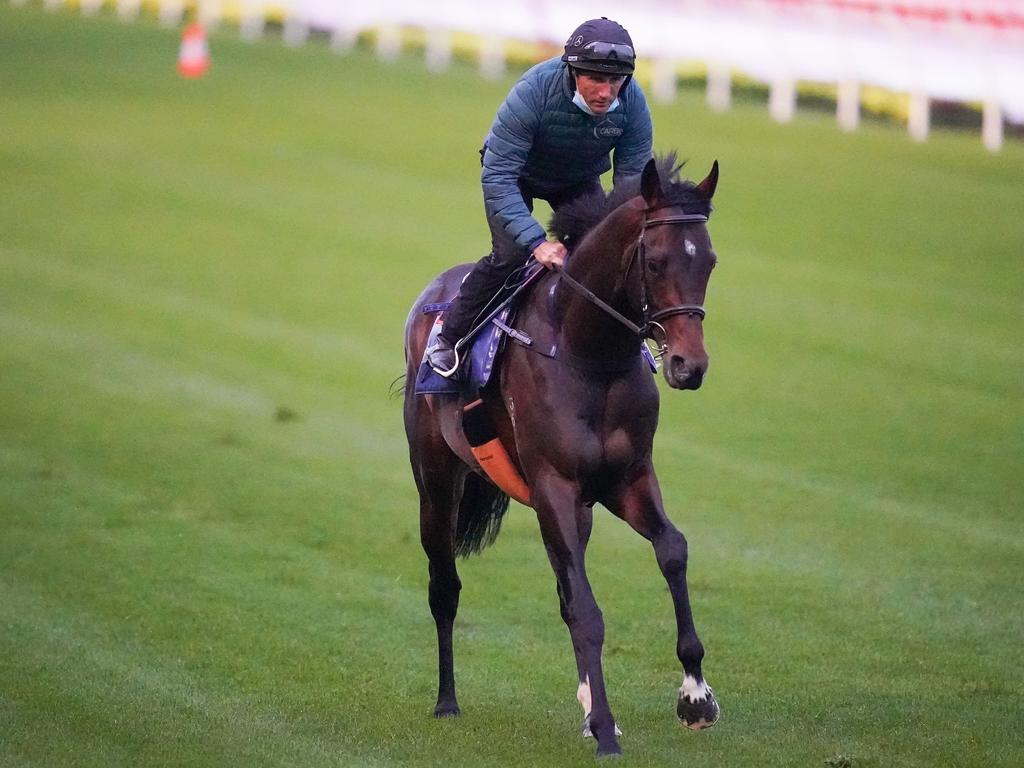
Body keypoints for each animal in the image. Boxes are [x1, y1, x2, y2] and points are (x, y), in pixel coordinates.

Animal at [399, 156, 720, 757]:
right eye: (656, 260)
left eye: (709, 260)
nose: (689, 366)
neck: (589, 351)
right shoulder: (555, 485)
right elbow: (587, 611)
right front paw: (607, 731)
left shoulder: (626, 478)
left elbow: (672, 550)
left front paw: (695, 696)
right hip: (436, 482)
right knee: (444, 587)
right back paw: (447, 701)